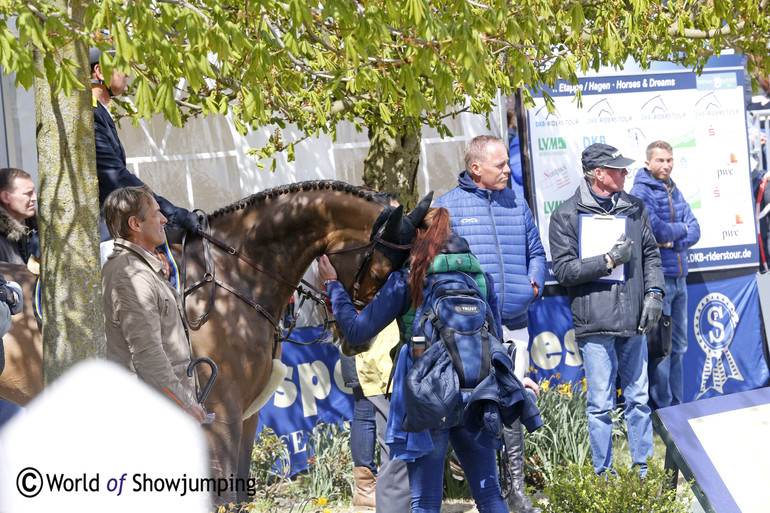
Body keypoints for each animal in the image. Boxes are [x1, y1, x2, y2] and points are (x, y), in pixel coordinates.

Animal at [1, 179, 408, 500]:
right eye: (380, 268)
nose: (358, 340)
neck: (235, 275)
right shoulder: (219, 415)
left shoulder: (247, 417)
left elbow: (240, 494)